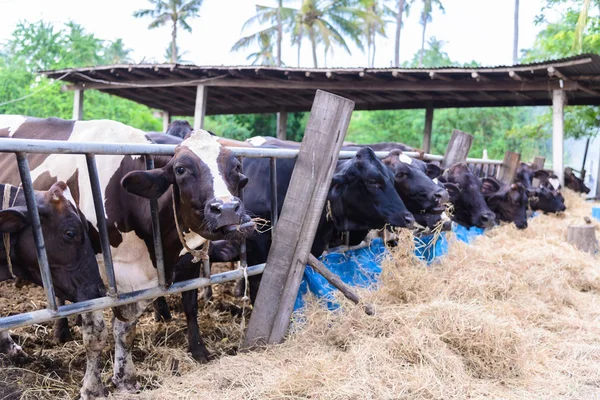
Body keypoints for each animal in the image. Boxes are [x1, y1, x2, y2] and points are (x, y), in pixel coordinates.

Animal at [0, 115, 253, 396]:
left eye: (236, 168)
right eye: (181, 169)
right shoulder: (90, 275)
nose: (227, 209)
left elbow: (125, 330)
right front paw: (92, 388)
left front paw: (125, 379)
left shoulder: (141, 280)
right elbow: (96, 333)